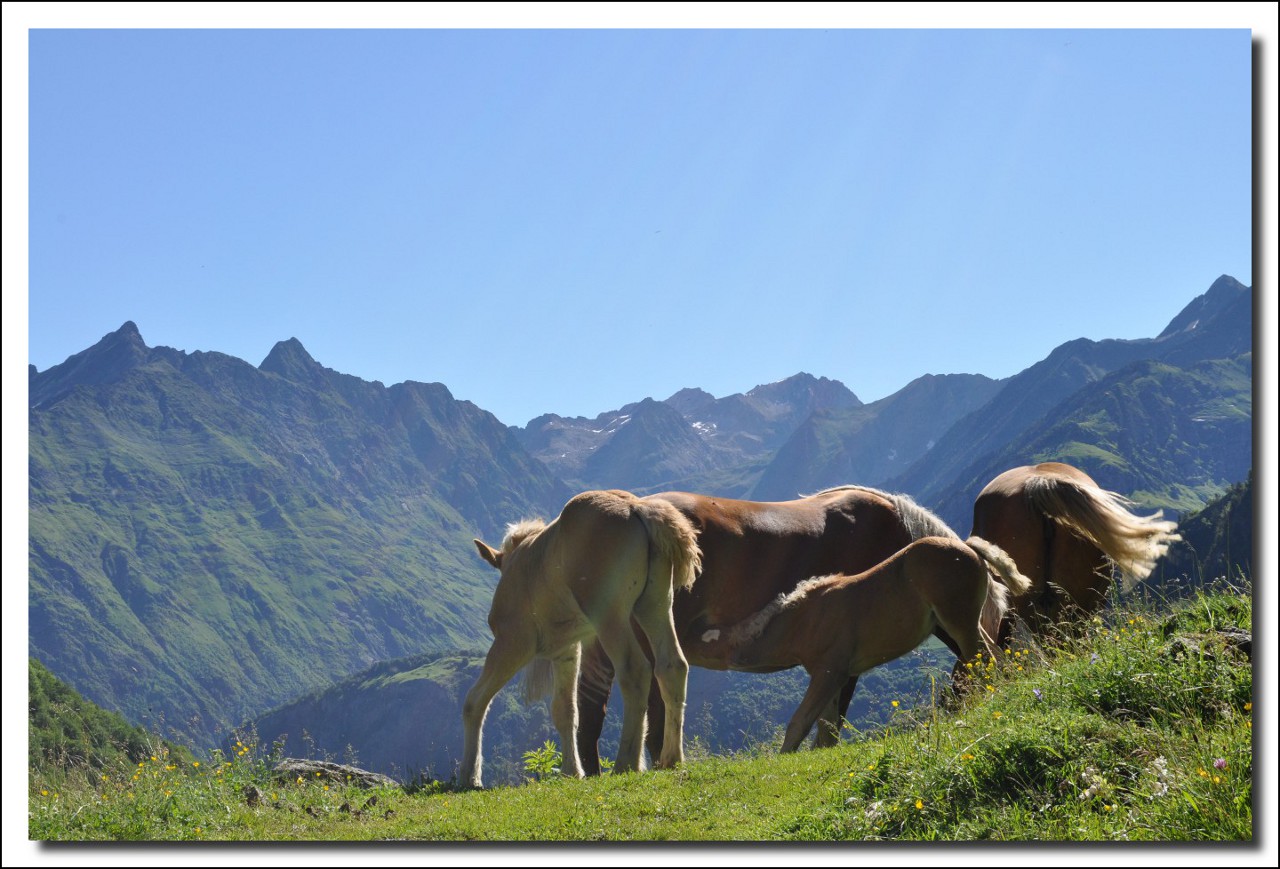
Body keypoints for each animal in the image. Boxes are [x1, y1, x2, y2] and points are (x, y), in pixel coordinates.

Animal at [460, 488, 701, 788]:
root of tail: (637, 508)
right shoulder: (566, 650)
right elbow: (565, 711)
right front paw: (572, 771)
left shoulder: (511, 642)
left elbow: (475, 701)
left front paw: (469, 777)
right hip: (655, 605)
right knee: (672, 666)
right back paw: (672, 758)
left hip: (609, 616)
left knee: (635, 670)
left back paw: (626, 762)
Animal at [691, 534, 1029, 752]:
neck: (801, 620)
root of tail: (967, 547)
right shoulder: (830, 678)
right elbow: (825, 730)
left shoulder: (830, 672)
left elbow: (800, 724)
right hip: (964, 623)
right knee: (995, 656)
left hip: (959, 622)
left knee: (982, 661)